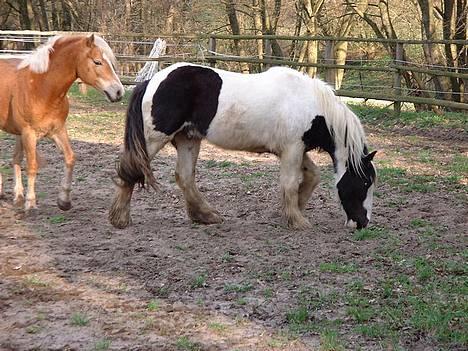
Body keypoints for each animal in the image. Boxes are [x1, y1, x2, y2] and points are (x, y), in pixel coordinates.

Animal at [0, 34, 124, 212]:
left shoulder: (57, 131)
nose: (119, 92)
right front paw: (30, 203)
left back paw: (17, 196)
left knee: (16, 158)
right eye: (97, 61)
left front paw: (64, 200)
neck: (41, 87)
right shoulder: (29, 134)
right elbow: (32, 166)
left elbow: (70, 157)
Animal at [109, 63, 376, 231]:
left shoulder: (295, 150)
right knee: (130, 169)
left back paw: (206, 216)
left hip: (188, 139)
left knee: (184, 177)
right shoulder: (292, 149)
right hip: (155, 138)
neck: (310, 105)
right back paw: (120, 218)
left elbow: (312, 177)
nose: (363, 223)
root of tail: (151, 81)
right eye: (364, 183)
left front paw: (294, 210)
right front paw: (297, 220)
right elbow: (290, 184)